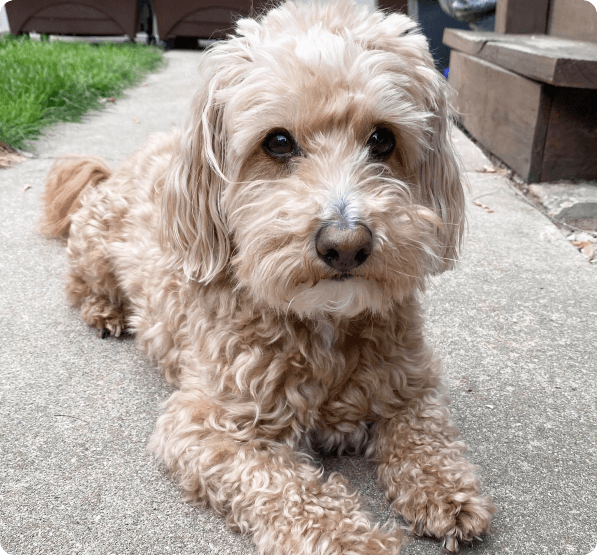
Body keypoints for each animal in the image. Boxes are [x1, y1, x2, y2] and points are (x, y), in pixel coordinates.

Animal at [40, 2, 494, 552]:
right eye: (277, 142)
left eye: (383, 139)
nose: (346, 244)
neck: (323, 323)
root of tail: (115, 169)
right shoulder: (208, 425)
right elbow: (289, 489)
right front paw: (352, 541)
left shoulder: (411, 384)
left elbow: (425, 434)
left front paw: (446, 490)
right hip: (95, 248)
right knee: (80, 285)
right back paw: (104, 312)